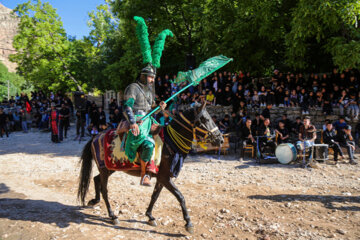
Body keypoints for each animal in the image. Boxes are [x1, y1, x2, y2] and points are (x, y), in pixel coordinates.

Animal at [76, 102, 222, 232]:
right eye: (205, 119)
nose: (220, 139)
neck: (170, 143)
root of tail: (96, 136)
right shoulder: (165, 178)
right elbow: (180, 196)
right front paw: (188, 223)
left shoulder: (162, 178)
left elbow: (155, 196)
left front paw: (150, 216)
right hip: (106, 170)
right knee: (104, 190)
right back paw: (112, 216)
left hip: (109, 168)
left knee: (96, 179)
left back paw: (94, 201)